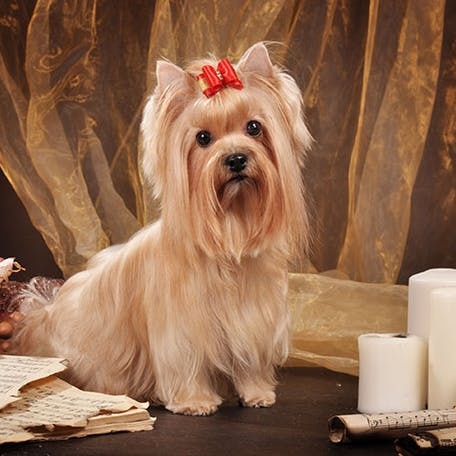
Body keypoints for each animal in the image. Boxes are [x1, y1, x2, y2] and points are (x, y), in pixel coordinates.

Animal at [12, 42, 311, 416]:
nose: (236, 158)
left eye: (254, 127)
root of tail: (41, 316)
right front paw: (195, 402)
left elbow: (249, 363)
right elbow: (186, 364)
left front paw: (257, 393)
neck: (230, 231)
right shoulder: (180, 331)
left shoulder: (253, 319)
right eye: (203, 138)